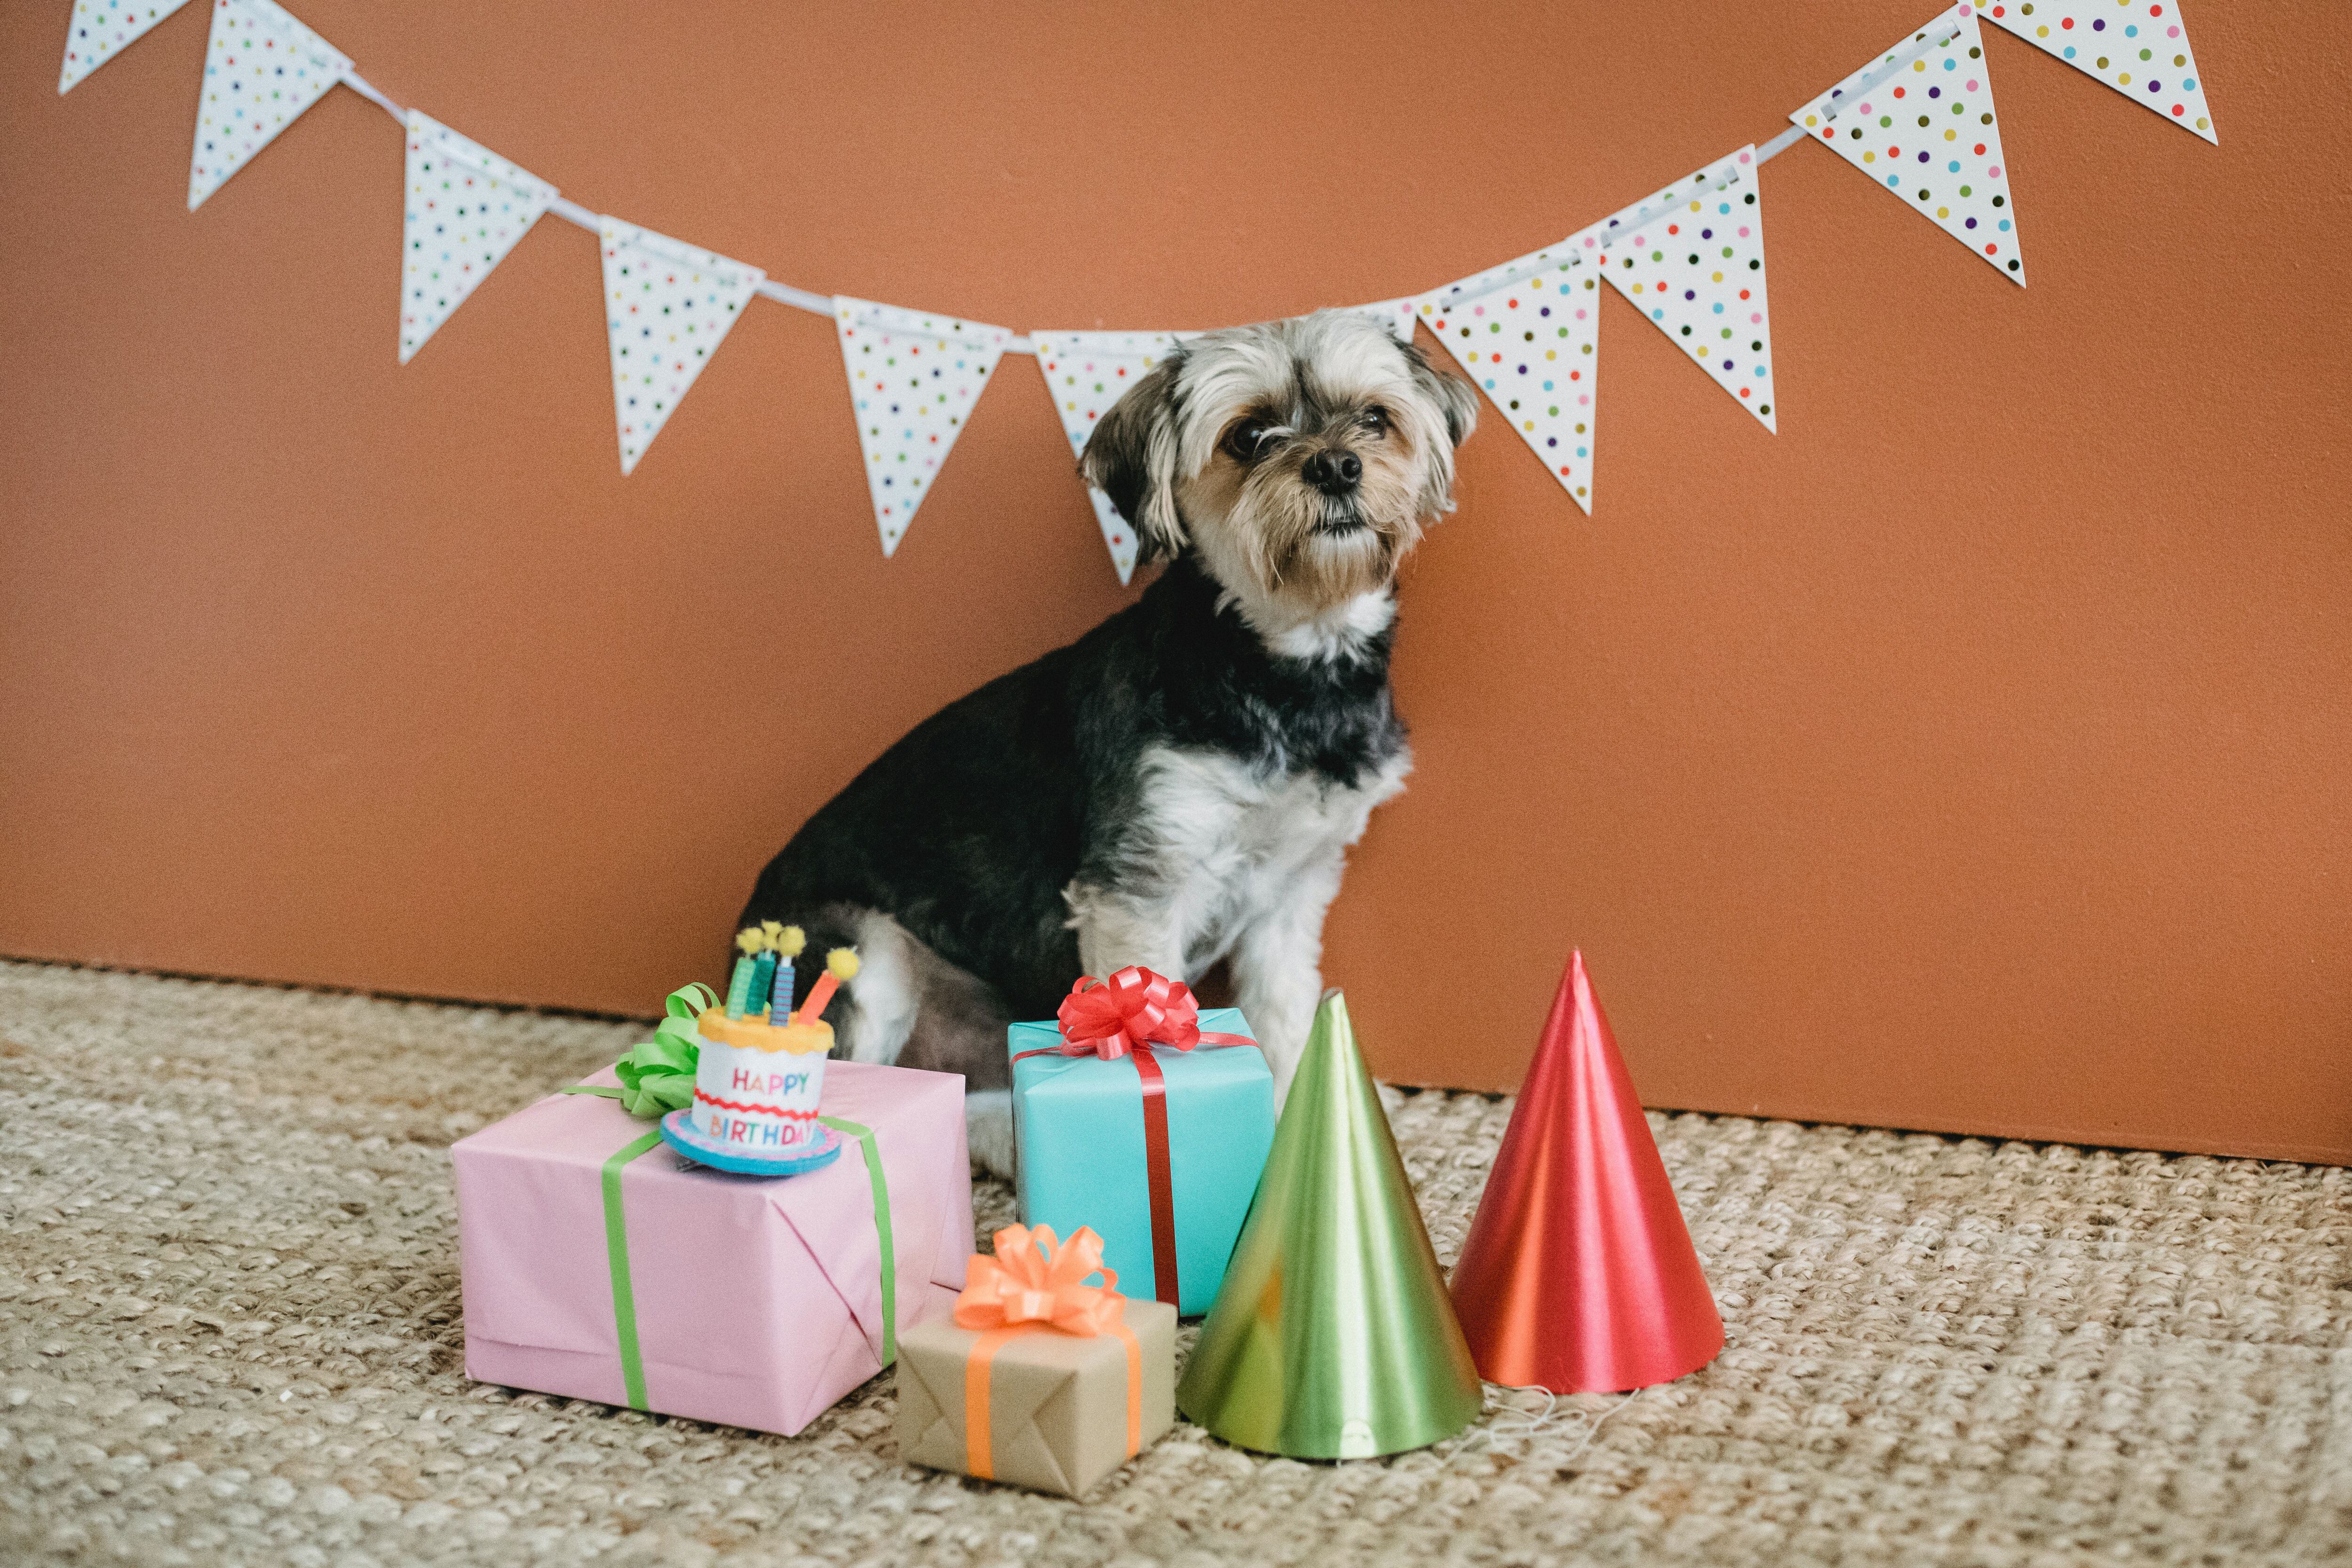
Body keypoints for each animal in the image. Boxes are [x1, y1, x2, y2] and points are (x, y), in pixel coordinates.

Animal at [739, 305, 1468, 1170]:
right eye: (1249, 436)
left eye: (1376, 418)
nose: (1336, 467)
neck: (1283, 667)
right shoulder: (1139, 883)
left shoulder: (1291, 892)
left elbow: (1286, 1017)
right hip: (861, 950)